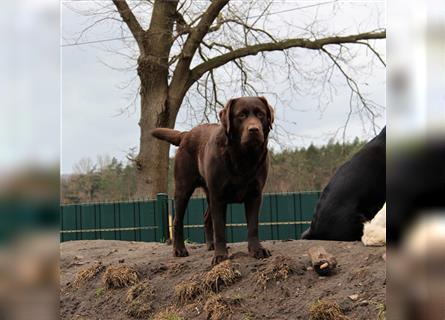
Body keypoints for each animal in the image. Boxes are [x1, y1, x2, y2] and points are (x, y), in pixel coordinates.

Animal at [153, 97, 274, 264]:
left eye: (261, 114)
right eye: (241, 115)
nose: (254, 129)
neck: (243, 157)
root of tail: (186, 134)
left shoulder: (254, 195)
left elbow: (253, 226)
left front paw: (257, 250)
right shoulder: (219, 196)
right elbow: (220, 228)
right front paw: (220, 255)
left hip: (209, 192)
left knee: (206, 218)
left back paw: (210, 245)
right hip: (184, 188)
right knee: (178, 220)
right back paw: (179, 249)